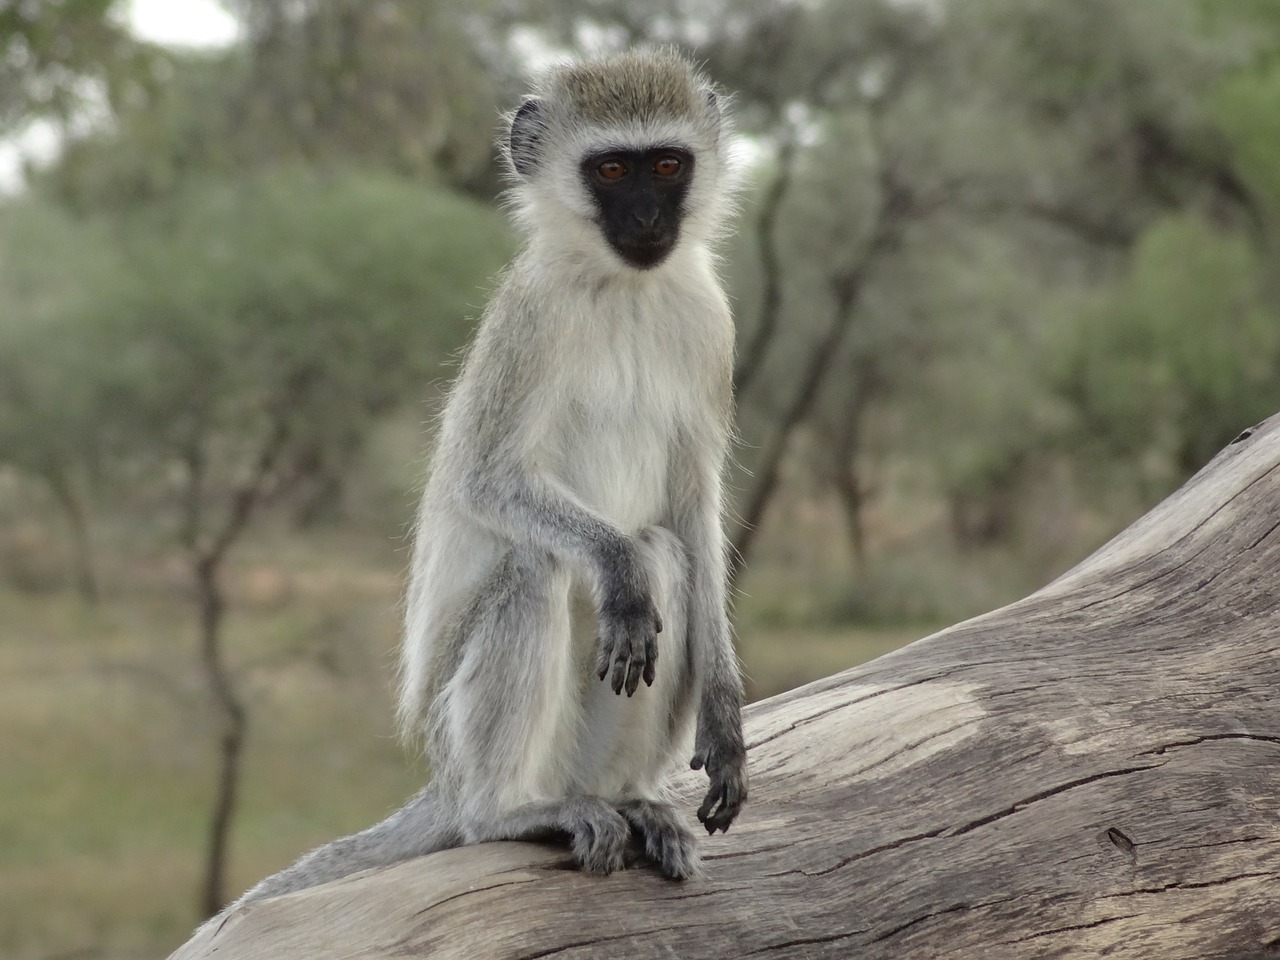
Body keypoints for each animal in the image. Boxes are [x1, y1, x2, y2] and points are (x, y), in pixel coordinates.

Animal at [224, 48, 747, 911]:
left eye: (668, 165)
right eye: (611, 169)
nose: (647, 221)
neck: (625, 288)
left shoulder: (712, 324)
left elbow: (693, 510)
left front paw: (726, 713)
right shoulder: (531, 323)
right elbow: (484, 481)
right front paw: (615, 569)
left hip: (578, 754)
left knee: (668, 557)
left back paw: (632, 799)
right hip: (461, 735)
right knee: (540, 567)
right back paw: (509, 812)